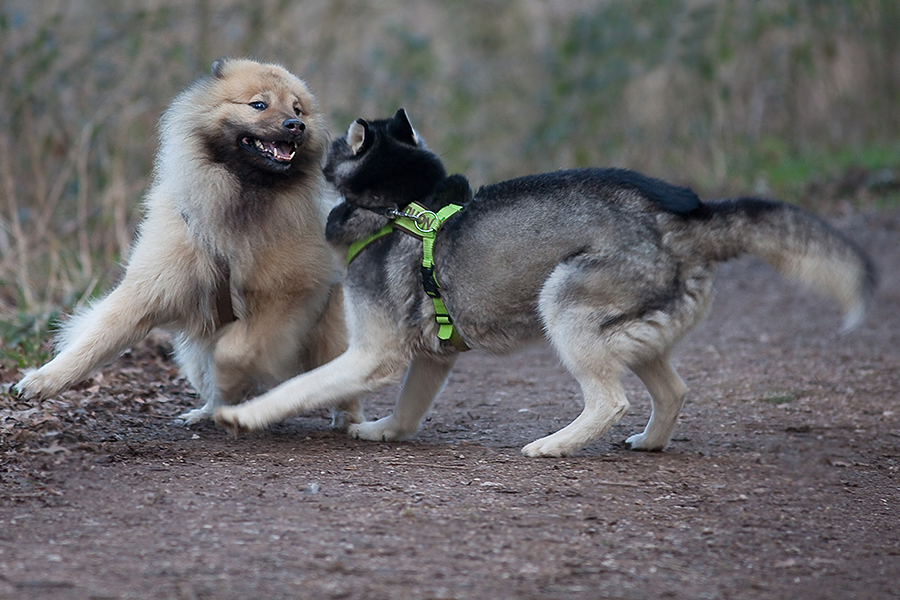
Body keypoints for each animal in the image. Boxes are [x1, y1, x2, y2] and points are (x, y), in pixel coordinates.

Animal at [214, 109, 876, 454]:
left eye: (329, 150)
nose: (300, 129)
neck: (404, 203)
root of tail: (680, 218)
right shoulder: (432, 358)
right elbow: (407, 410)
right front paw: (383, 430)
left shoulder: (373, 354)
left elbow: (299, 387)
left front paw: (245, 416)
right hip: (631, 333)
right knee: (674, 391)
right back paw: (649, 441)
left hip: (564, 305)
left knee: (610, 400)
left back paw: (556, 444)